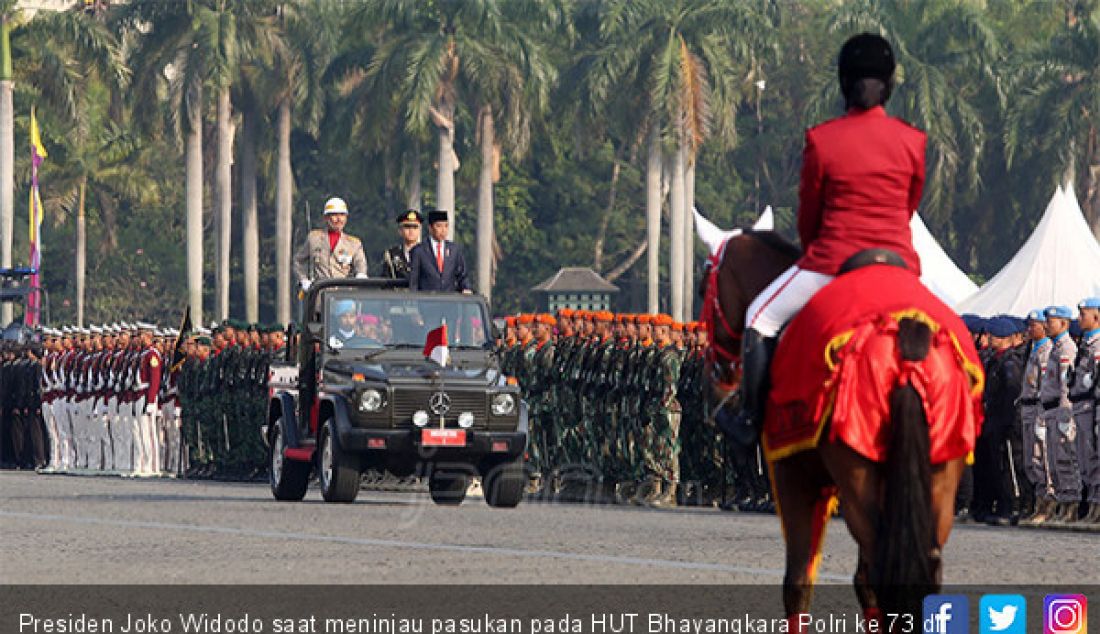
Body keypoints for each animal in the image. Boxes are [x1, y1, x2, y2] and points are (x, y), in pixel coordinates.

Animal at [704, 228, 972, 625]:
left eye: (703, 285)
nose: (721, 373)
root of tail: (905, 332)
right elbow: (860, 583)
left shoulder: (793, 475)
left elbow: (798, 582)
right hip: (936, 479)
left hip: (858, 480)